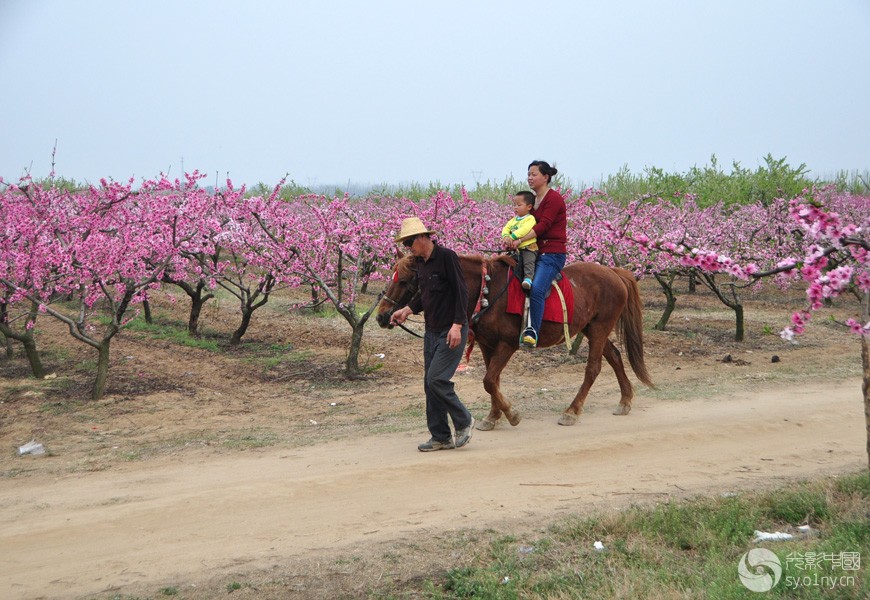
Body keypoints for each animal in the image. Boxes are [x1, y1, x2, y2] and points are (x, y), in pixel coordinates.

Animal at [374, 255, 656, 428]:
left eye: (404, 280)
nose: (382, 315)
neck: (485, 291)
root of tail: (613, 272)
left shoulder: (507, 345)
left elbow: (489, 380)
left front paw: (511, 414)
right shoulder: (487, 345)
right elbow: (492, 380)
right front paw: (493, 416)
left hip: (599, 328)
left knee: (593, 368)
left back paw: (572, 411)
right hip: (592, 328)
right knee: (615, 357)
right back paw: (625, 401)